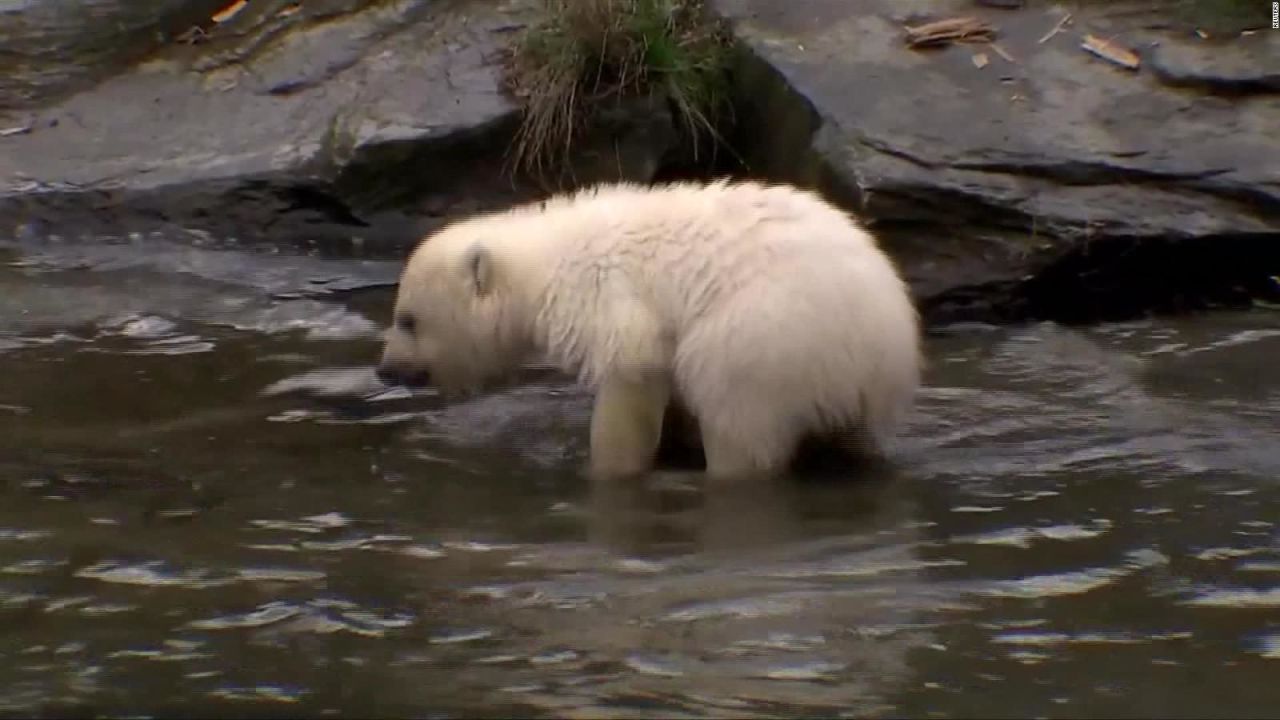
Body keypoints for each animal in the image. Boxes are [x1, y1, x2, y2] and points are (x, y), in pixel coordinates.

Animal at [373, 179, 926, 481]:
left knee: (736, 415)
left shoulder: (610, 298)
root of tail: (889, 341)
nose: (385, 369)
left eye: (408, 319)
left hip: (768, 337)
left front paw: (604, 467)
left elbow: (632, 380)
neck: (549, 262)